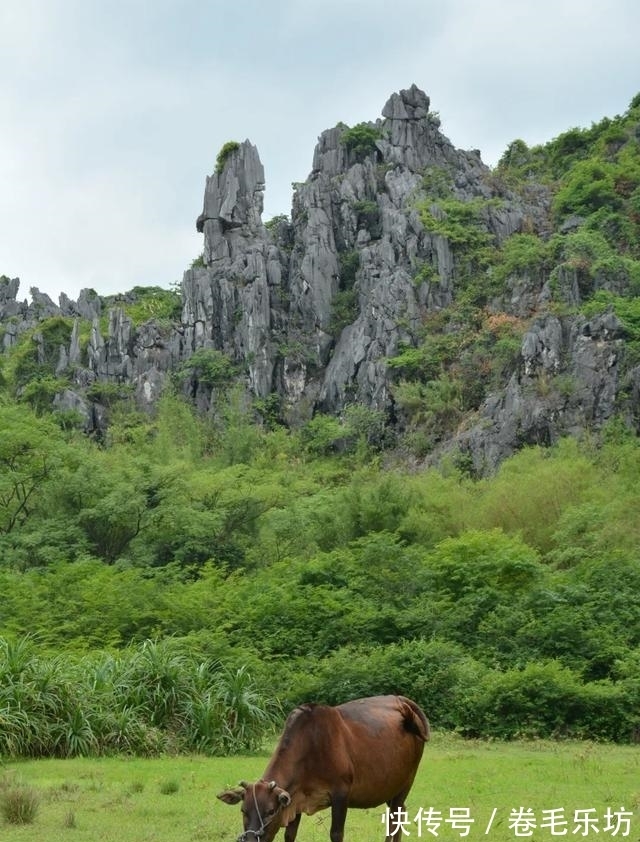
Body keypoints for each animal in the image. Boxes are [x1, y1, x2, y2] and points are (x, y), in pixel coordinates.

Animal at [216, 688, 430, 840]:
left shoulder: (341, 794)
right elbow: (289, 835)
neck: (311, 746)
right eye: (243, 811)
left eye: (270, 811)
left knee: (395, 820)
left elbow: (336, 834)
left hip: (406, 783)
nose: (251, 839)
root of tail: (401, 700)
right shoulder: (295, 800)